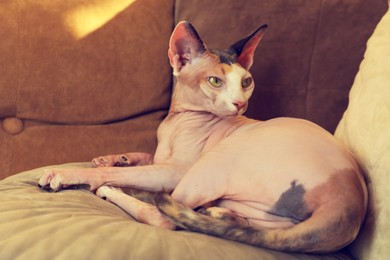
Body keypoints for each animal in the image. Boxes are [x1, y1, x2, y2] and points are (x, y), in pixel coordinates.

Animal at [38, 21, 368, 253]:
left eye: (246, 82)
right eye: (215, 81)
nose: (240, 105)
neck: (176, 120)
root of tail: (351, 203)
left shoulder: (174, 171)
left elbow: (129, 175)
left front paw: (73, 174)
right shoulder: (160, 157)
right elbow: (144, 155)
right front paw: (113, 157)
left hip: (217, 160)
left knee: (162, 216)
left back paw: (113, 191)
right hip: (264, 216)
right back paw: (218, 214)